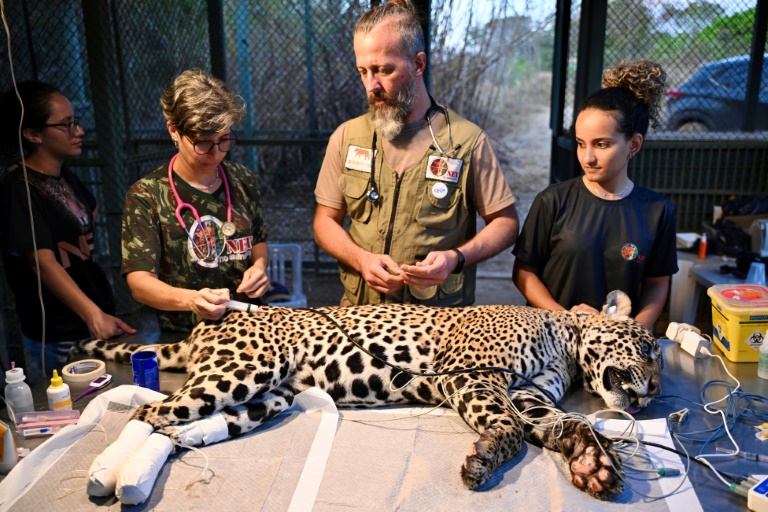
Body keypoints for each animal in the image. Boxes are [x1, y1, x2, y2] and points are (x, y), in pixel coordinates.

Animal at [74, 290, 662, 500]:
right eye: (648, 345)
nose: (655, 389)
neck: (565, 344)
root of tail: (207, 323)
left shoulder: (532, 396)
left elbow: (570, 424)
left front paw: (593, 463)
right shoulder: (473, 376)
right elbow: (511, 429)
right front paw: (485, 457)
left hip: (267, 398)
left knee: (181, 428)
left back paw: (128, 476)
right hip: (244, 371)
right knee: (149, 411)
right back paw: (108, 475)